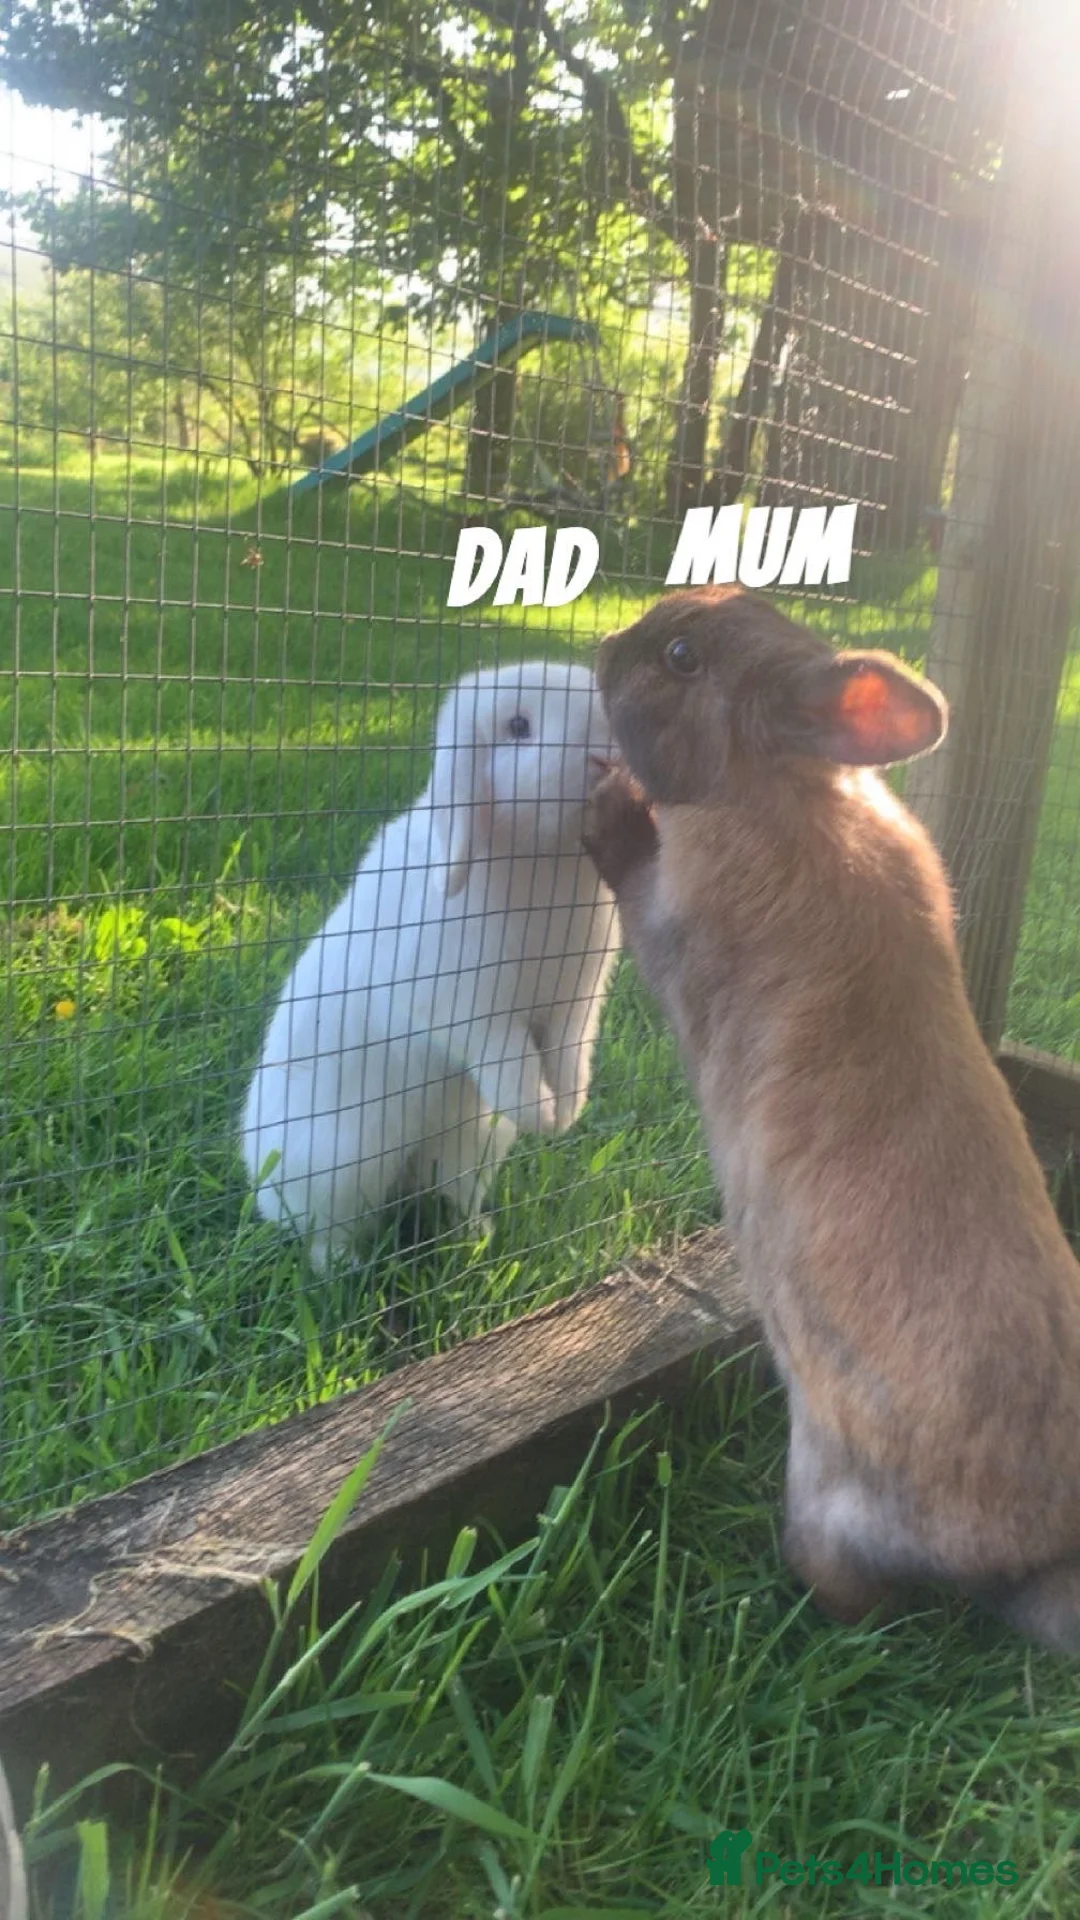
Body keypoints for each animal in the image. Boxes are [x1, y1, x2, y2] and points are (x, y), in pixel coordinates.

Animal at [241, 660, 620, 1268]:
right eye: (518, 726)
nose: (605, 755)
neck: (546, 859)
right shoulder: (474, 1016)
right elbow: (511, 1064)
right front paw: (539, 1115)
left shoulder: (574, 1008)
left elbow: (569, 1060)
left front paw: (566, 1114)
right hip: (340, 1167)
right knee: (328, 1231)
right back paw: (345, 1268)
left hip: (473, 1143)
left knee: (449, 1192)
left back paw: (475, 1236)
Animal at [582, 583, 1080, 1656]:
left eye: (682, 656)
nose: (603, 648)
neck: (784, 787)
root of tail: (1028, 1560)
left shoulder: (674, 917)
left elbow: (634, 875)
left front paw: (608, 800)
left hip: (824, 1492)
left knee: (847, 1594)